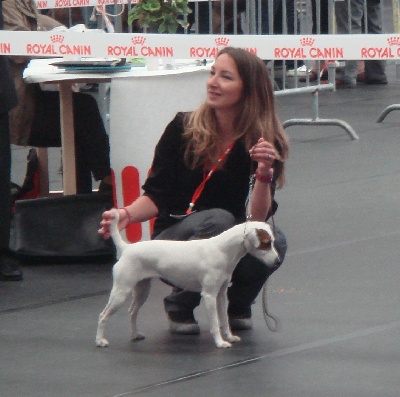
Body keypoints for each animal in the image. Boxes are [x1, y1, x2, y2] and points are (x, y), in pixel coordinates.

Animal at [95, 209, 280, 348]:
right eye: (266, 243)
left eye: (271, 242)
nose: (277, 261)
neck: (222, 250)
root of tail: (126, 248)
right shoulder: (209, 296)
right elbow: (215, 322)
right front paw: (220, 342)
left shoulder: (221, 295)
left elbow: (224, 319)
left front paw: (229, 337)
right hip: (121, 292)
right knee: (102, 315)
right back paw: (100, 340)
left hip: (141, 291)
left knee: (132, 312)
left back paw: (134, 335)